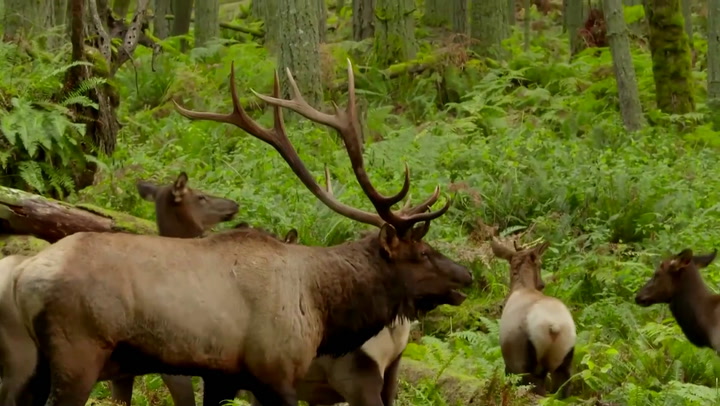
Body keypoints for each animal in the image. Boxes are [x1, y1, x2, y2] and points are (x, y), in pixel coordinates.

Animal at [7, 59, 473, 406]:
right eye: (422, 251)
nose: (467, 276)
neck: (320, 303)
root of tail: (21, 278)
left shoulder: (223, 378)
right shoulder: (275, 372)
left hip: (34, 365)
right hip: (78, 355)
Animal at [490, 238, 575, 397]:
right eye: (540, 264)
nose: (542, 284)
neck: (522, 287)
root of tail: (554, 327)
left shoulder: (510, 364)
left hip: (527, 365)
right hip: (564, 362)